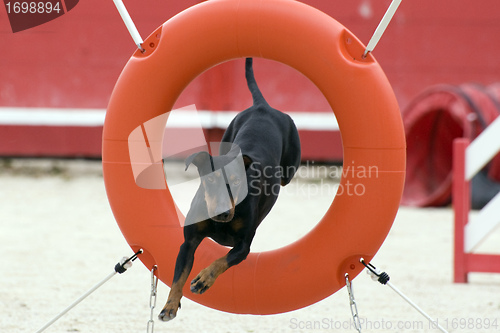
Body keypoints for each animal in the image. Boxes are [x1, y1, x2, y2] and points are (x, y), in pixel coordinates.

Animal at [159, 58, 300, 320]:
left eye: (236, 182)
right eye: (210, 180)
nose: (224, 213)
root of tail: (263, 107)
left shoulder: (244, 245)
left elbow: (222, 260)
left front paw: (204, 279)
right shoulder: (189, 242)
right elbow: (178, 276)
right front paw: (170, 305)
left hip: (290, 165)